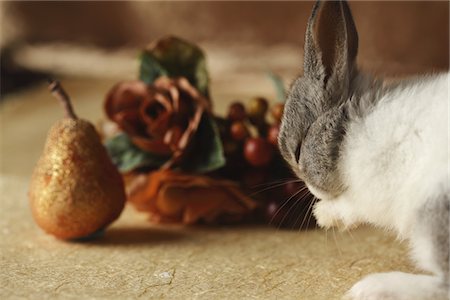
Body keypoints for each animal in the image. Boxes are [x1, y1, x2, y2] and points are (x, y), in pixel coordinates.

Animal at [280, 0, 448, 300]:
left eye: (298, 152)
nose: (313, 192)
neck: (346, 128)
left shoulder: (371, 187)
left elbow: (352, 205)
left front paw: (323, 215)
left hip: (434, 209)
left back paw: (370, 288)